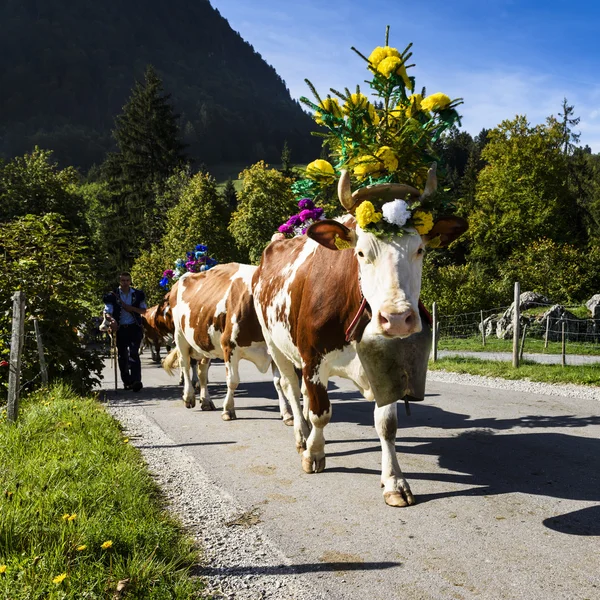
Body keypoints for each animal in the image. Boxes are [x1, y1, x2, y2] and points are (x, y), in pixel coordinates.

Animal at [163, 262, 294, 422]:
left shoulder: (274, 351)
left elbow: (278, 382)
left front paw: (286, 412)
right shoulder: (228, 346)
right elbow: (232, 381)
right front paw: (228, 410)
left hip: (205, 342)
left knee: (202, 371)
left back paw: (206, 401)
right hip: (180, 336)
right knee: (185, 365)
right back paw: (189, 397)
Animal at [251, 165, 466, 506]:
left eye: (420, 249)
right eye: (362, 252)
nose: (397, 318)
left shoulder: (387, 363)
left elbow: (387, 424)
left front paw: (394, 481)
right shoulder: (313, 359)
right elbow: (321, 412)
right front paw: (314, 453)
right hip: (276, 346)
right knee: (290, 388)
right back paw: (301, 434)